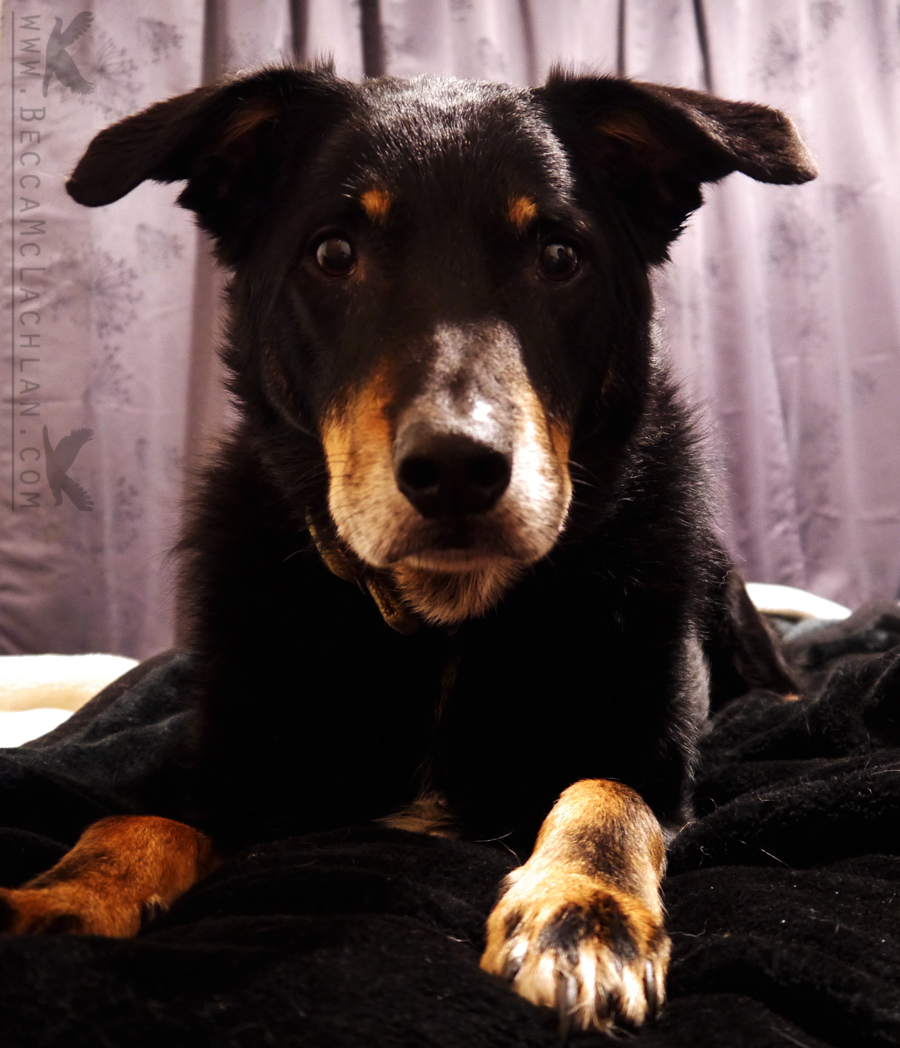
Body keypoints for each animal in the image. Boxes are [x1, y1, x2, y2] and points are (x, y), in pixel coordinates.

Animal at [0, 66, 813, 1033]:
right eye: (333, 254)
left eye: (560, 257)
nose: (458, 468)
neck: (445, 624)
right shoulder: (238, 776)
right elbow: (132, 823)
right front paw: (58, 898)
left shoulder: (652, 756)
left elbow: (607, 797)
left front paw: (585, 911)